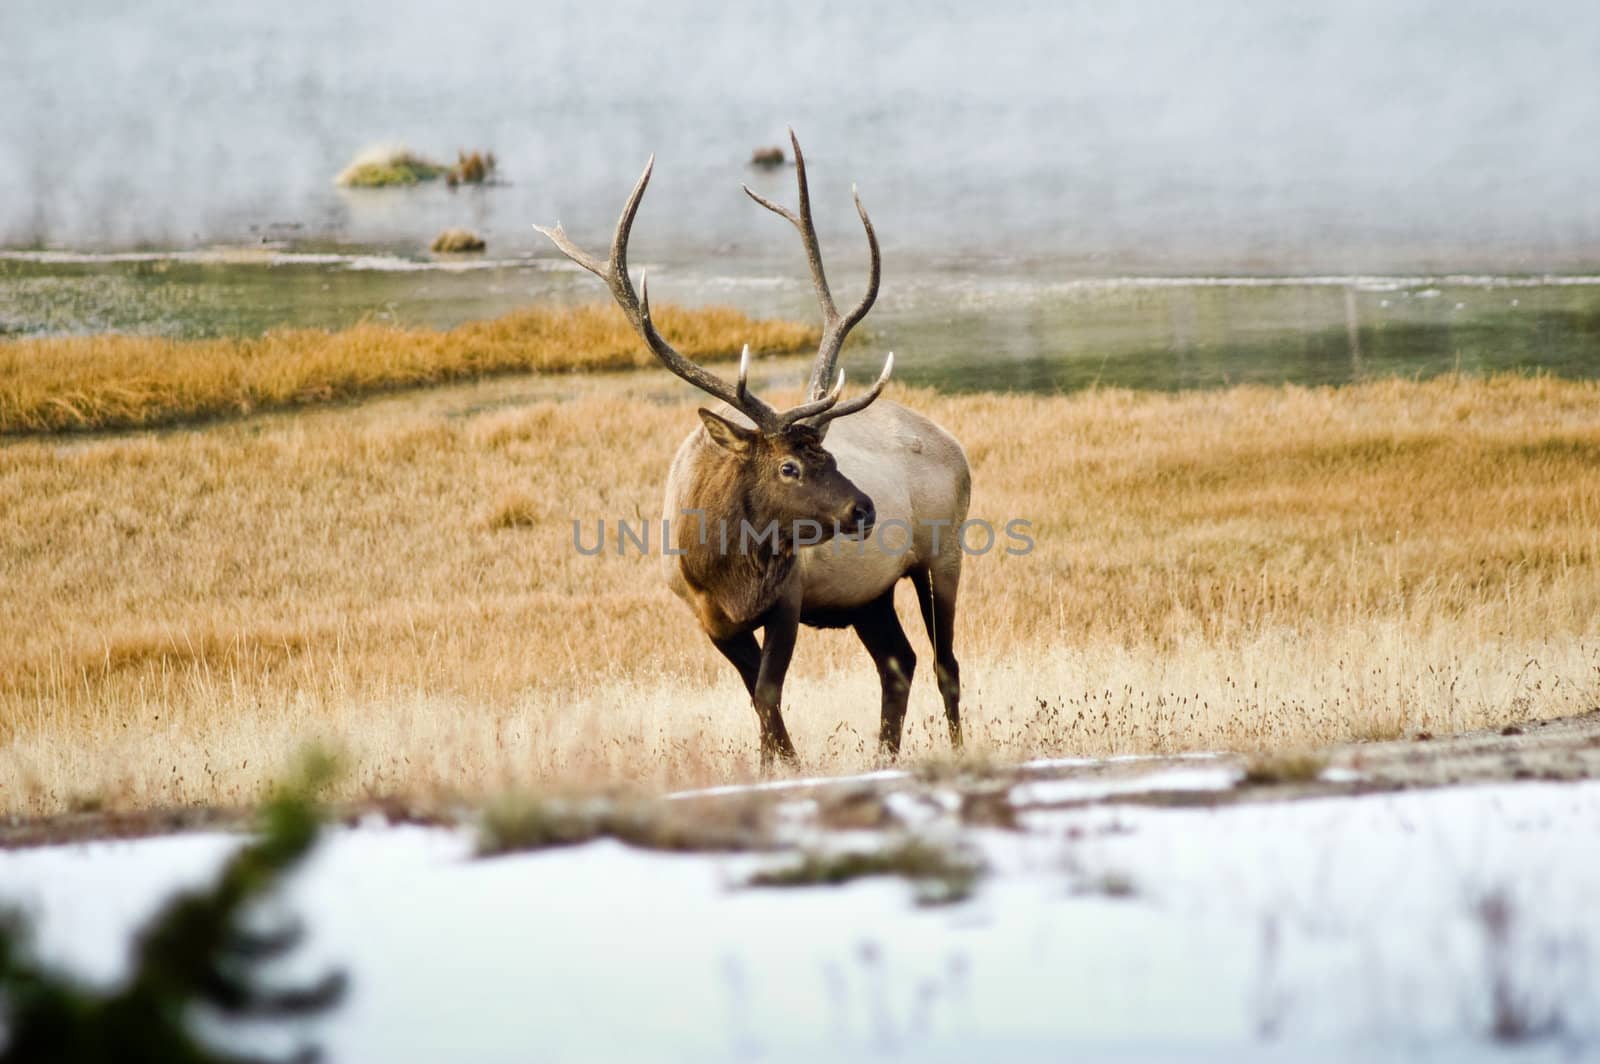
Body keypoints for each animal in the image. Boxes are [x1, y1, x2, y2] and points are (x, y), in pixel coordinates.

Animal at [537, 132, 966, 768]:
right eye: (788, 466)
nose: (864, 508)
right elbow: (754, 694)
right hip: (870, 594)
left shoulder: (789, 597)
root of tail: (955, 446)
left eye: (830, 458)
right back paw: (883, 756)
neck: (719, 563)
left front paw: (781, 764)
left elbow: (767, 690)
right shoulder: (708, 617)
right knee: (899, 662)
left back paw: (956, 748)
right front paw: (777, 761)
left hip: (943, 554)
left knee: (945, 663)